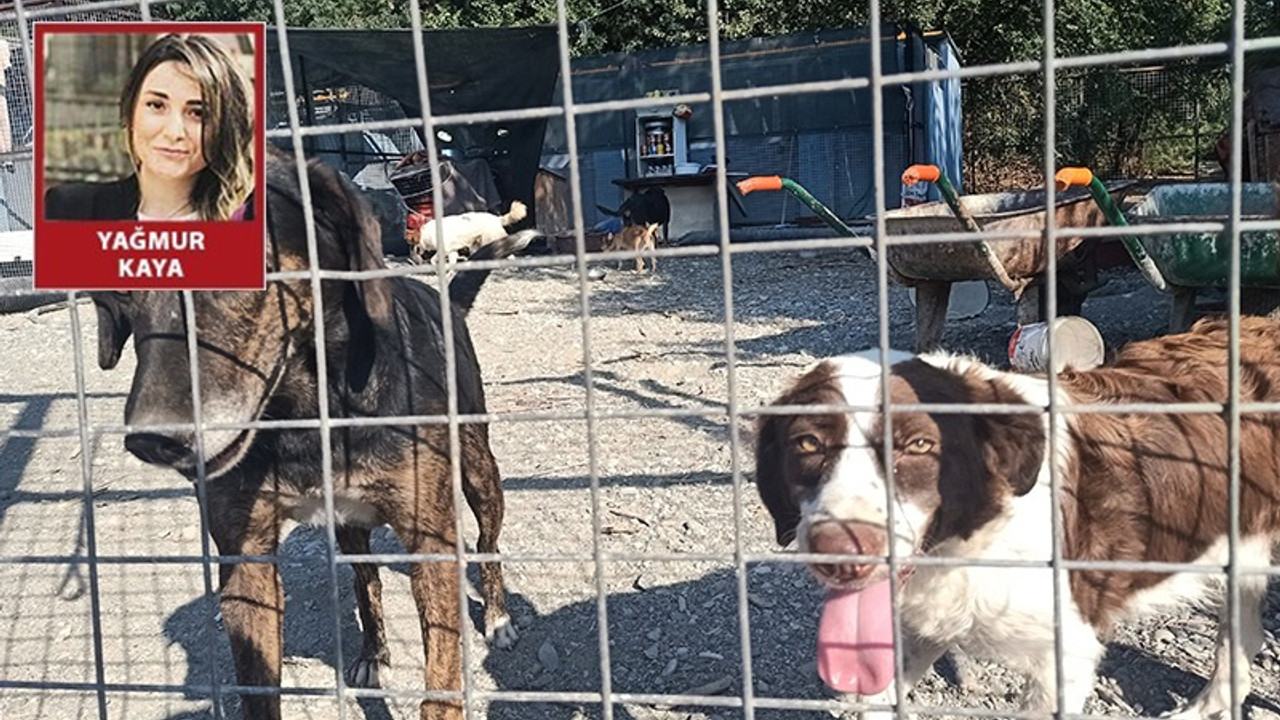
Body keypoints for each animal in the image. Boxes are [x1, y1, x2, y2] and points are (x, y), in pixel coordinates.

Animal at [92, 146, 527, 717]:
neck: (306, 414)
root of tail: (446, 301)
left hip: (479, 471)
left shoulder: (431, 542)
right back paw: (373, 654)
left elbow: (442, 680)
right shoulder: (247, 559)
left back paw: (498, 617)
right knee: (366, 580)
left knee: (487, 541)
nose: (152, 440)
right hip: (350, 524)